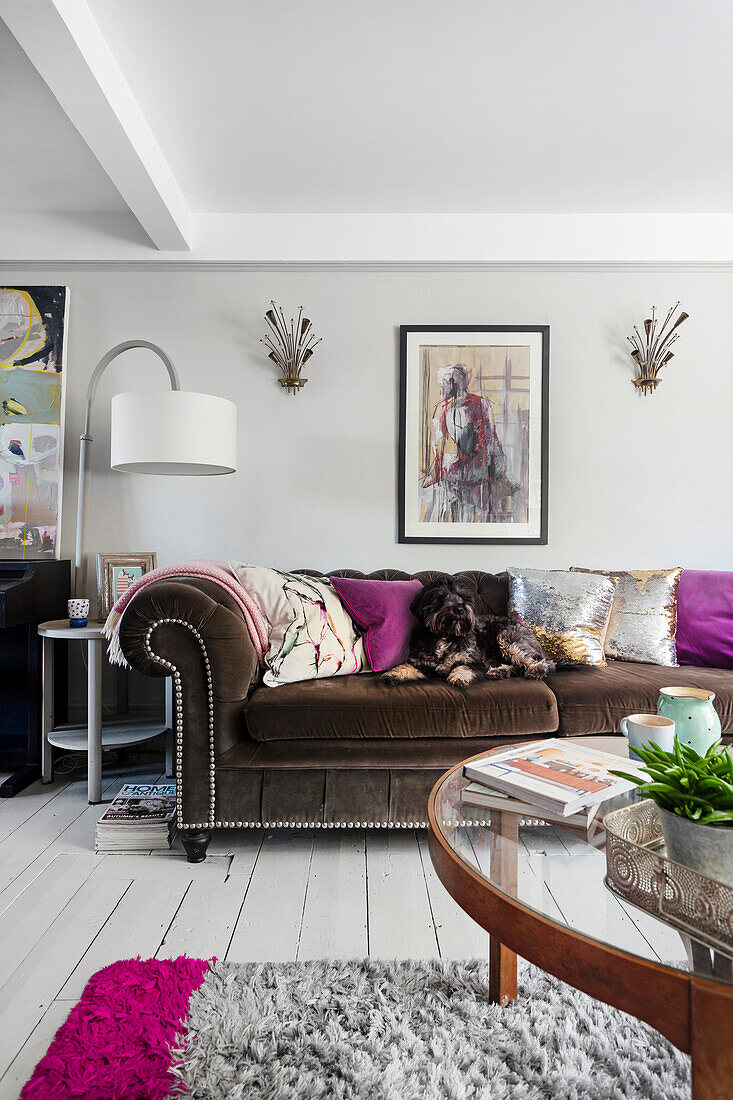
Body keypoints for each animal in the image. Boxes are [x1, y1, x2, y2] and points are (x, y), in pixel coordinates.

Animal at [378, 576, 550, 686]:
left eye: (462, 596)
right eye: (441, 597)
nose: (460, 609)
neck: (445, 636)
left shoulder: (474, 661)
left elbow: (462, 667)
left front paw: (460, 677)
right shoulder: (422, 663)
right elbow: (407, 667)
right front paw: (393, 673)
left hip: (507, 638)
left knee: (541, 661)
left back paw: (536, 670)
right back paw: (498, 671)